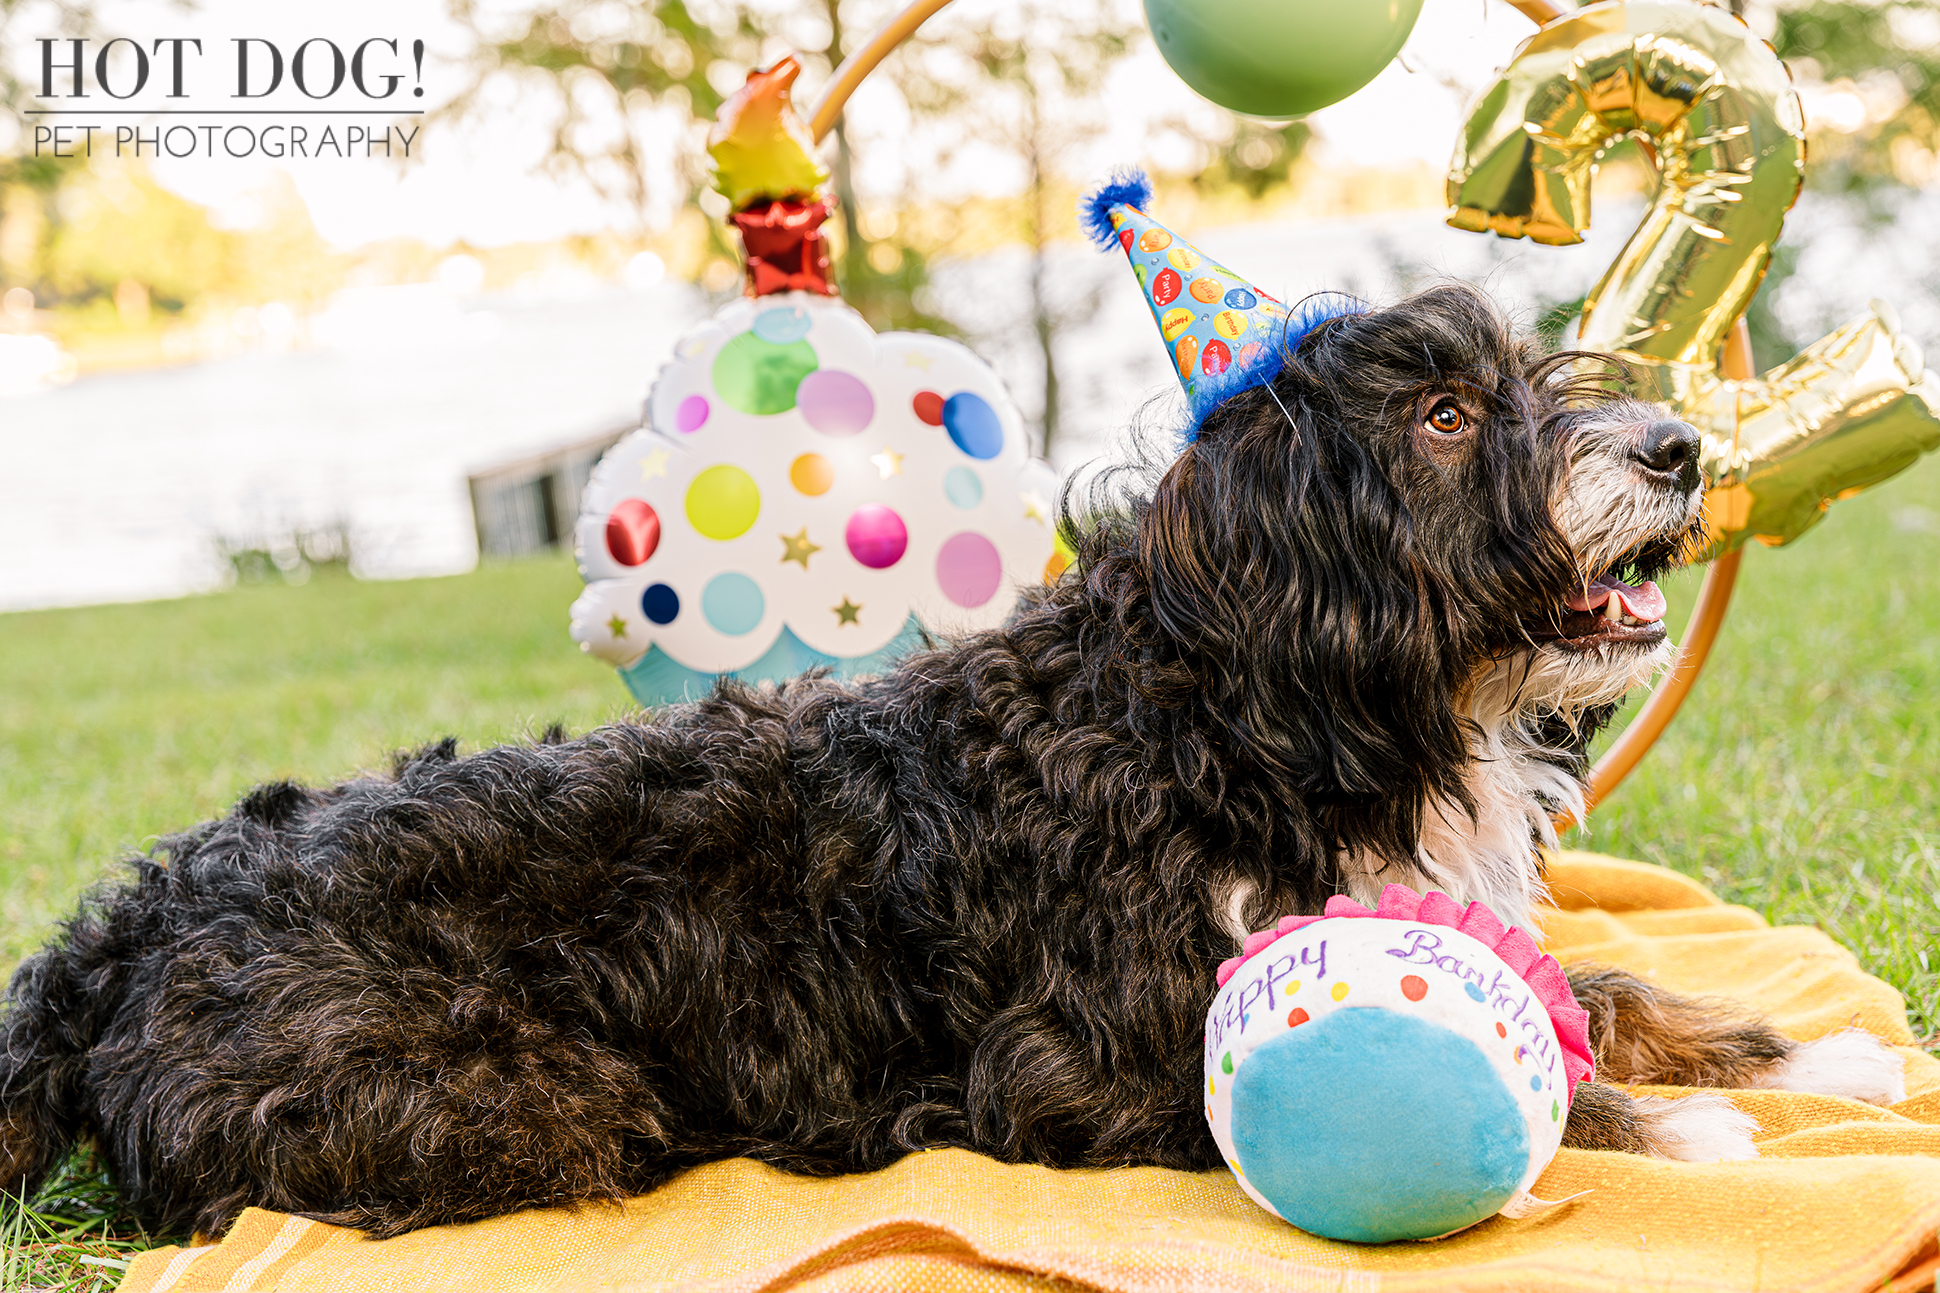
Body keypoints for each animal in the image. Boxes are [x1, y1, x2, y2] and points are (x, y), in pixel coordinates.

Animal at [0, 281, 1908, 1226]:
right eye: (1446, 416)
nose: (1677, 447)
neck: (1242, 707)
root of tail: (125, 922)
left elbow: (1619, 981)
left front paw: (1813, 1055)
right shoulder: (1082, 1061)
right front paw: (1677, 1131)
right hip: (531, 1098)